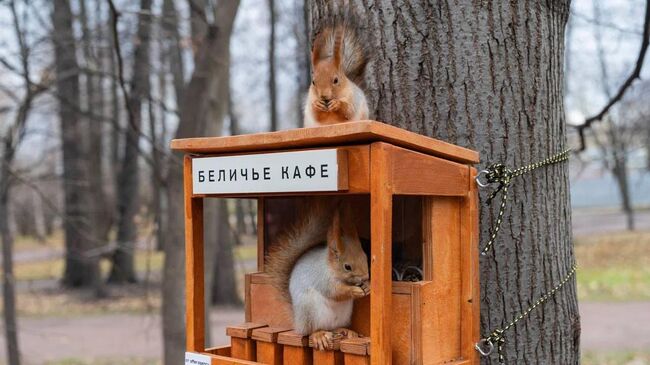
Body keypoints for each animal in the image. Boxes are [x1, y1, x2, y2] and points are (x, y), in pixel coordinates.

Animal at [262, 198, 364, 352]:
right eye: (347, 267)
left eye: (366, 257)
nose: (365, 278)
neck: (330, 267)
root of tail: (298, 322)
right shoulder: (322, 278)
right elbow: (335, 292)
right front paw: (354, 290)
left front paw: (368, 287)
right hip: (310, 310)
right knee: (311, 331)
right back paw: (319, 335)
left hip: (343, 315)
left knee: (333, 328)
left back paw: (345, 330)